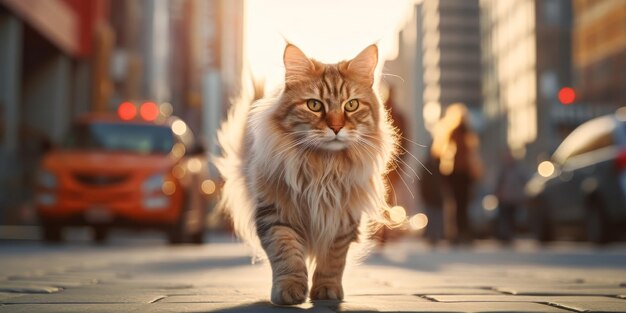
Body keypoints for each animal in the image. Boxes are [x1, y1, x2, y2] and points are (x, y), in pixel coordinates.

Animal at [216, 43, 394, 302]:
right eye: (314, 105)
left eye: (351, 105)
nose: (336, 127)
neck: (324, 168)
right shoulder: (276, 214)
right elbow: (287, 255)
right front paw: (289, 290)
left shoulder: (342, 219)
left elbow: (333, 260)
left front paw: (327, 290)